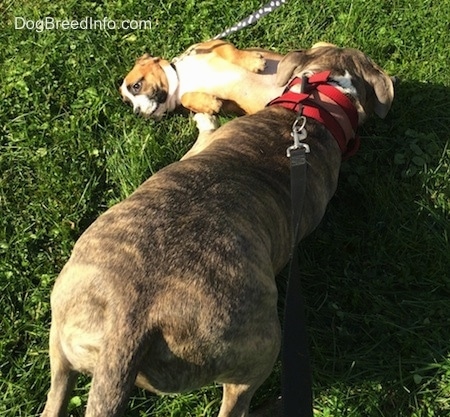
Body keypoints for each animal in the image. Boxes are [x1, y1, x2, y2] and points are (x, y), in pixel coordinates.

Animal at [118, 38, 284, 118]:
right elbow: (186, 98)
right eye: (128, 103)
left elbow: (232, 52)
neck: (181, 81)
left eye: (136, 86)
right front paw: (210, 104)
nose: (137, 113)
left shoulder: (217, 44)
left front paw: (254, 62)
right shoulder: (230, 105)